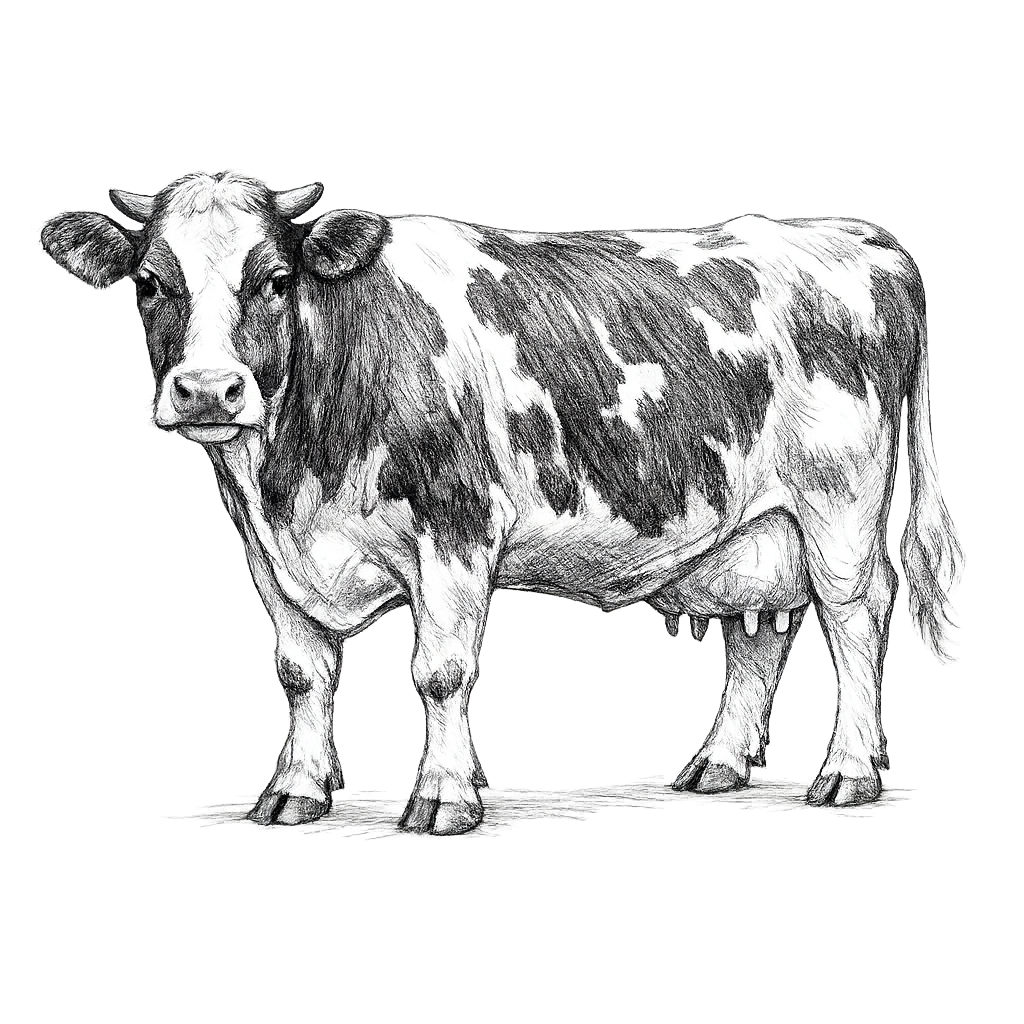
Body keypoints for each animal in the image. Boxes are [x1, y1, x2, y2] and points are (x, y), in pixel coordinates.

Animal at [38, 169, 964, 833]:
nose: (207, 390)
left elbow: (441, 670)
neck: (296, 477)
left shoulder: (457, 527)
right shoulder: (268, 552)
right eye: (150, 283)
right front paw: (295, 792)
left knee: (856, 619)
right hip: (757, 525)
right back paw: (717, 765)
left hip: (838, 502)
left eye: (273, 278)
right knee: (760, 634)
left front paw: (444, 796)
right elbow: (300, 673)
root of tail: (853, 234)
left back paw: (848, 773)